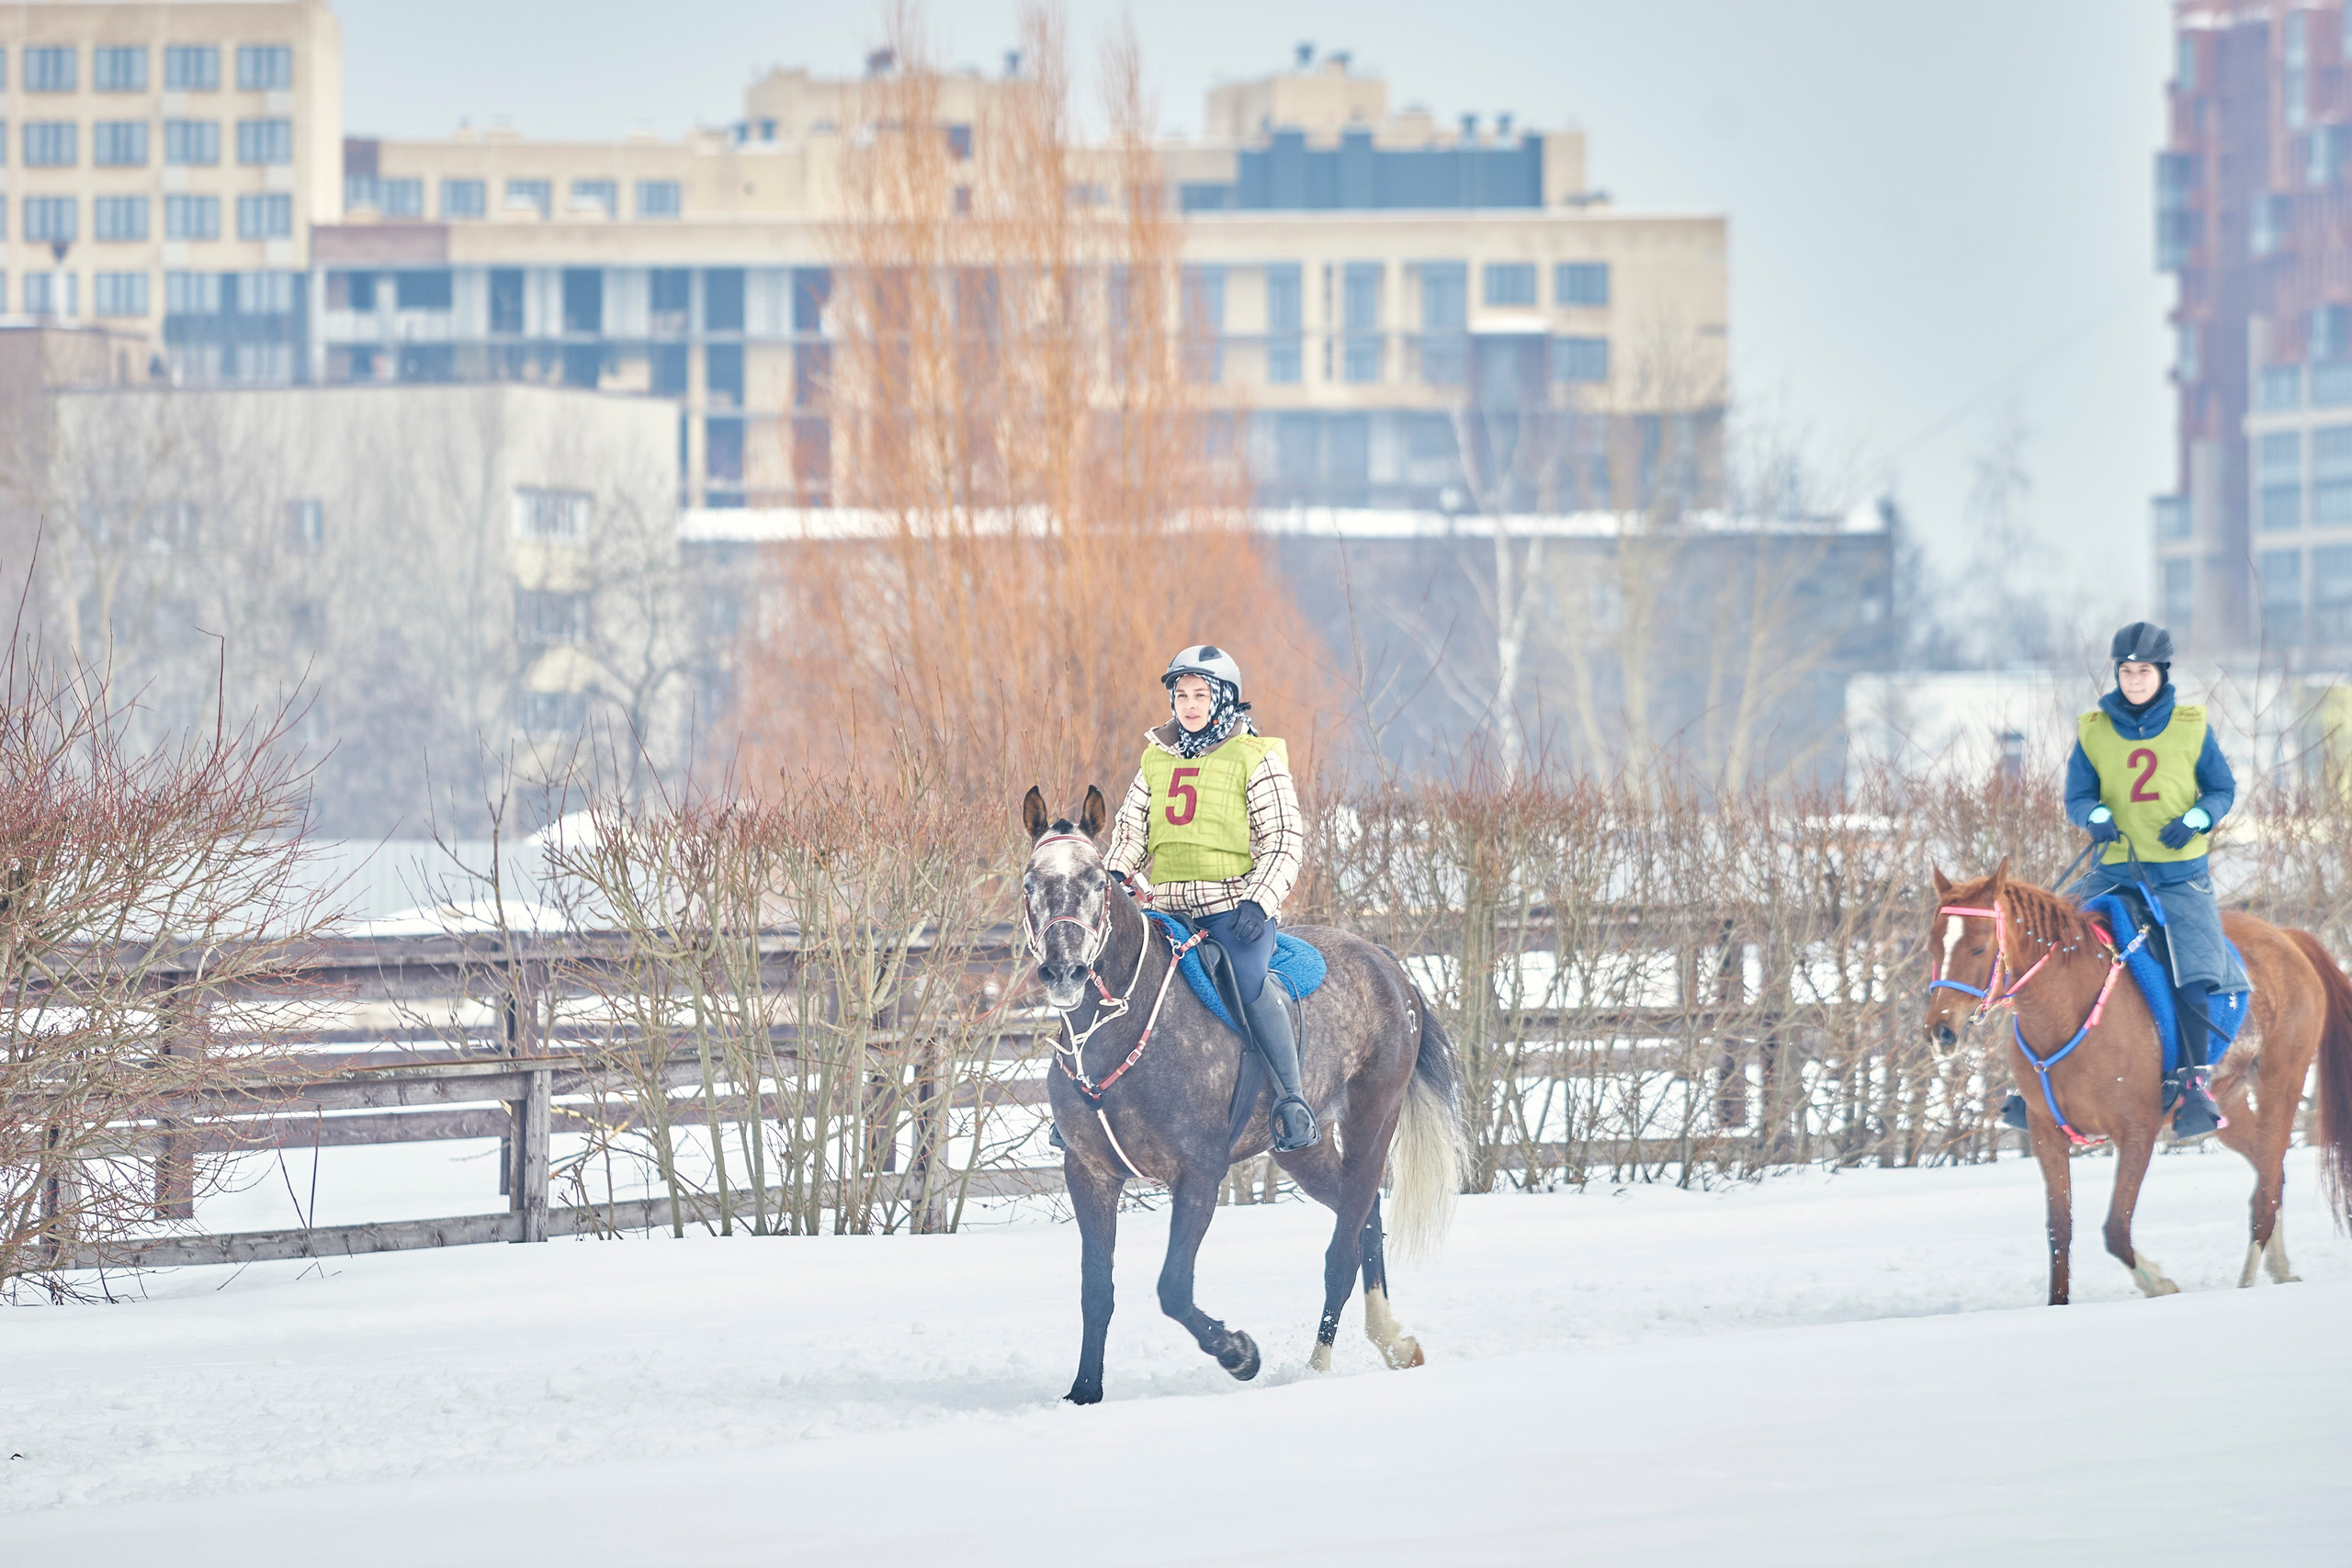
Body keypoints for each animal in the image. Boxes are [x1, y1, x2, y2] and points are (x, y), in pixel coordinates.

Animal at [1019, 786, 1466, 1404]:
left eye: (1096, 881)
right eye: (1029, 884)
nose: (1064, 971)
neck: (1117, 1028)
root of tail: (1388, 965)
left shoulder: (1199, 1174)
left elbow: (1173, 1287)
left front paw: (1239, 1354)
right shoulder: (1089, 1173)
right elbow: (1096, 1292)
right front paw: (1085, 1391)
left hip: (1374, 1120)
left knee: (1343, 1249)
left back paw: (1317, 1368)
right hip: (1303, 1149)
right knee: (1366, 1220)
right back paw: (1393, 1343)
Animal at [1924, 862, 2352, 1305]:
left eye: (1978, 948)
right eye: (1934, 948)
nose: (1941, 1031)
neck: (2065, 1011)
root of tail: (2288, 937)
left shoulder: (2137, 1132)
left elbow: (2115, 1229)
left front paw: (2158, 1284)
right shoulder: (2047, 1135)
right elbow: (2059, 1232)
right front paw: (2058, 1303)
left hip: (2280, 1082)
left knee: (2266, 1193)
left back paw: (2247, 1282)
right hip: (2228, 1105)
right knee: (2273, 1174)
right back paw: (2280, 1269)